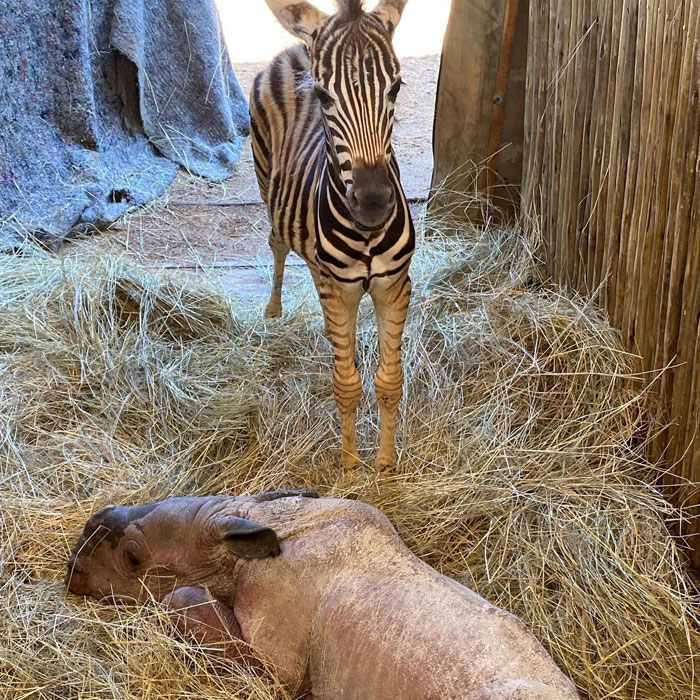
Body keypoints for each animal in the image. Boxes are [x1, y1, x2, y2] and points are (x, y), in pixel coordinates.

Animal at [251, 0, 414, 470]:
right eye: (323, 97)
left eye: (395, 89)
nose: (373, 202)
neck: (367, 236)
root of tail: (293, 49)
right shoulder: (339, 290)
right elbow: (346, 384)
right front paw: (349, 465)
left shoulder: (395, 287)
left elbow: (389, 381)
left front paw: (385, 466)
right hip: (264, 179)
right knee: (278, 244)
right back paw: (273, 309)